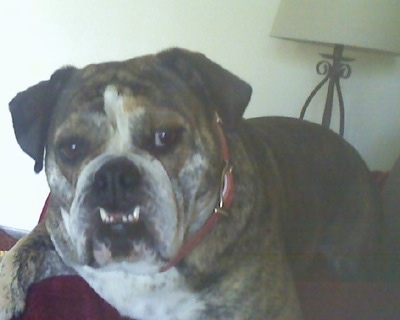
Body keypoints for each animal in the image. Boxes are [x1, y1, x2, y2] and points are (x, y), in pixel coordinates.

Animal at [0, 48, 382, 320]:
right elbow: (19, 252)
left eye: (165, 136)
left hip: (348, 255)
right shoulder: (60, 241)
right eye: (72, 147)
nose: (114, 176)